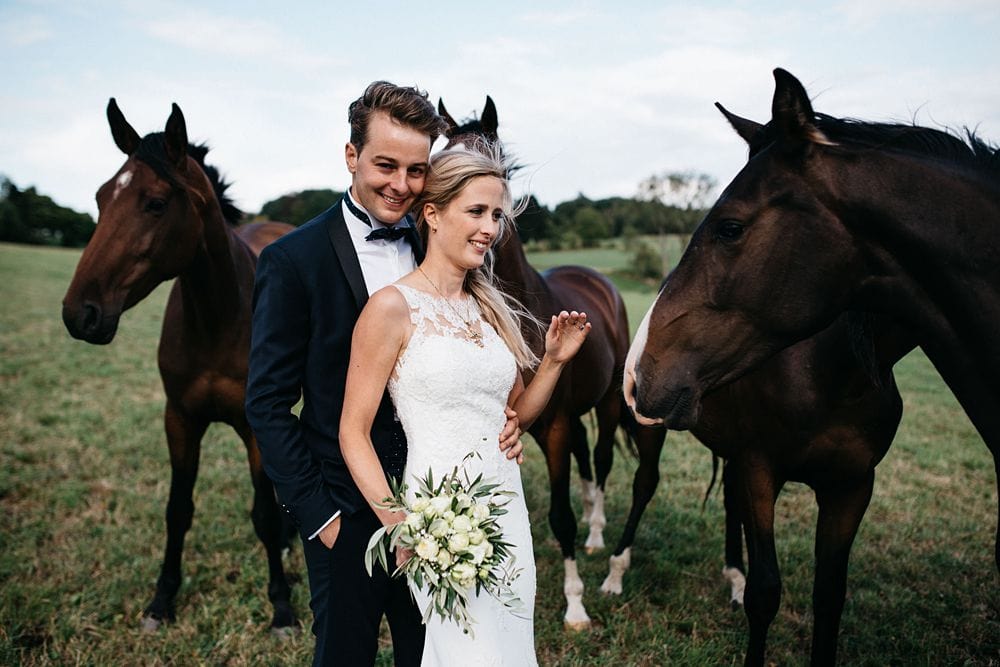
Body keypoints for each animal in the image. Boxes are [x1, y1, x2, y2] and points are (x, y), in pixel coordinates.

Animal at [61, 102, 296, 636]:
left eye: (155, 202)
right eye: (101, 197)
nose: (79, 314)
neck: (219, 319)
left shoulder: (254, 427)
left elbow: (264, 514)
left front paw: (282, 607)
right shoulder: (180, 419)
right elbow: (177, 509)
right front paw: (162, 599)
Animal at [440, 96, 668, 628]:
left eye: (499, 168)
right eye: (436, 164)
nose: (481, 248)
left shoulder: (557, 426)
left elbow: (560, 517)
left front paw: (575, 604)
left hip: (608, 402)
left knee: (601, 459)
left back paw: (598, 532)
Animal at [624, 66, 1000, 664]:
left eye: (729, 227)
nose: (637, 372)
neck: (830, 375)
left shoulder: (850, 487)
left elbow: (829, 596)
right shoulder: (760, 470)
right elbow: (766, 594)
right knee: (644, 485)